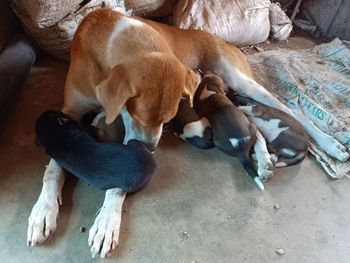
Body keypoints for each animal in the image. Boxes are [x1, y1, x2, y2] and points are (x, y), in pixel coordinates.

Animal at [26, 8, 348, 260]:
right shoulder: (70, 114)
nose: (148, 151)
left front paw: (107, 221)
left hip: (239, 80)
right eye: (136, 114)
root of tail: (220, 38)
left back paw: (329, 145)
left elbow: (117, 179)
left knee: (286, 108)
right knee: (254, 125)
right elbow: (54, 166)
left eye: (166, 119)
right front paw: (43, 210)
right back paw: (266, 160)